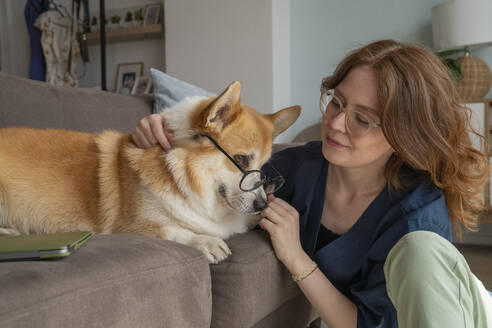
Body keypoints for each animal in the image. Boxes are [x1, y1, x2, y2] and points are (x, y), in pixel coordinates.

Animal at [0, 82, 300, 264]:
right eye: (240, 159)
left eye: (263, 165)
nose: (262, 203)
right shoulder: (131, 226)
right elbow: (174, 229)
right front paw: (206, 241)